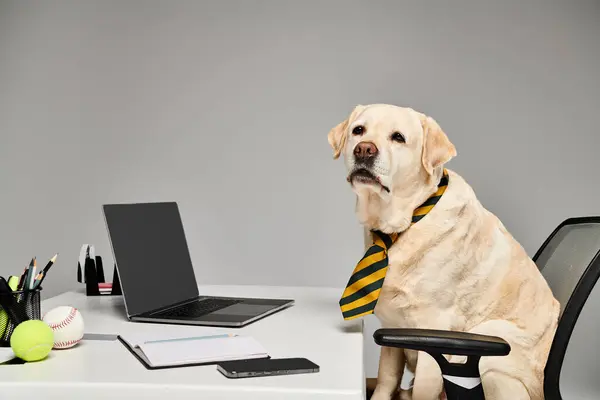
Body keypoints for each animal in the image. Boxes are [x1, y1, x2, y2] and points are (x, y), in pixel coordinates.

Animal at [328, 104, 556, 398]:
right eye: (358, 130)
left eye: (398, 137)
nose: (364, 149)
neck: (405, 223)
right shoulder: (391, 333)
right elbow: (386, 380)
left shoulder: (434, 331)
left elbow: (422, 391)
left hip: (493, 350)